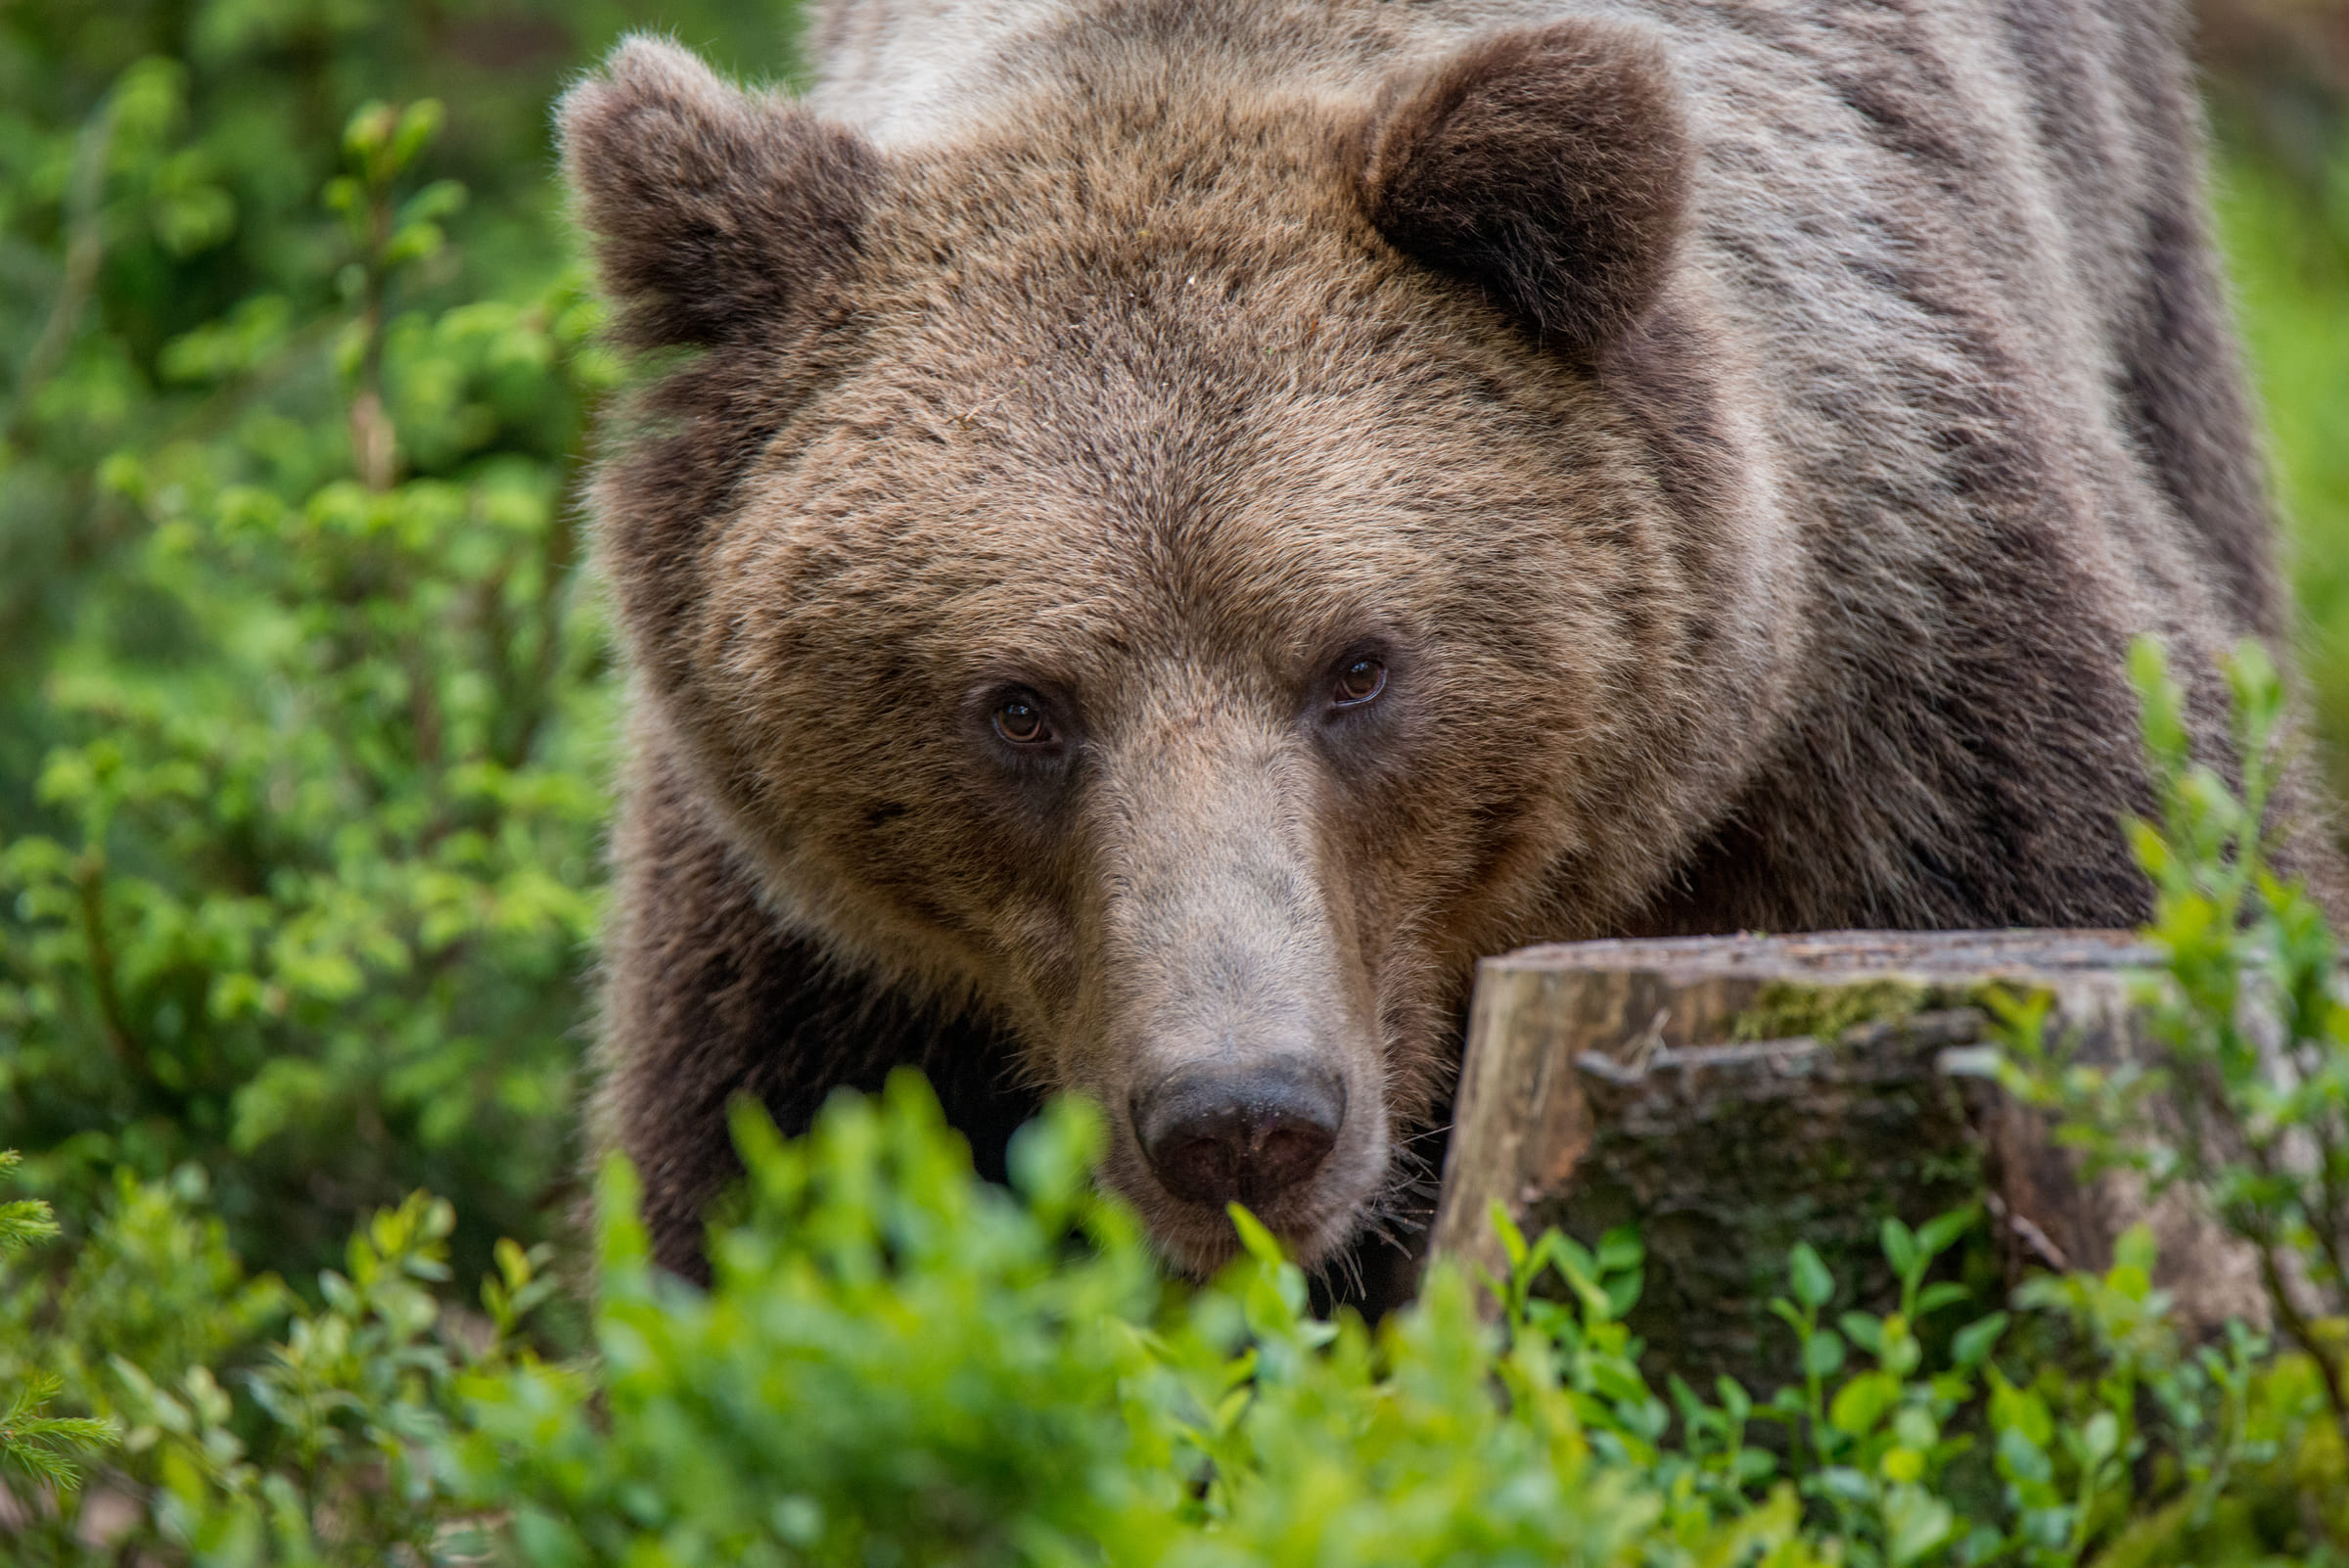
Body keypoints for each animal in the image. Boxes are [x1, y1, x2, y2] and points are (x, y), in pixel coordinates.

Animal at [559, 0, 2339, 1295]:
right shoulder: (815, 958)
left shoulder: (1924, 687)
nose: (1243, 1119)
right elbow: (751, 1212)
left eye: (1358, 662)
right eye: (1020, 704)